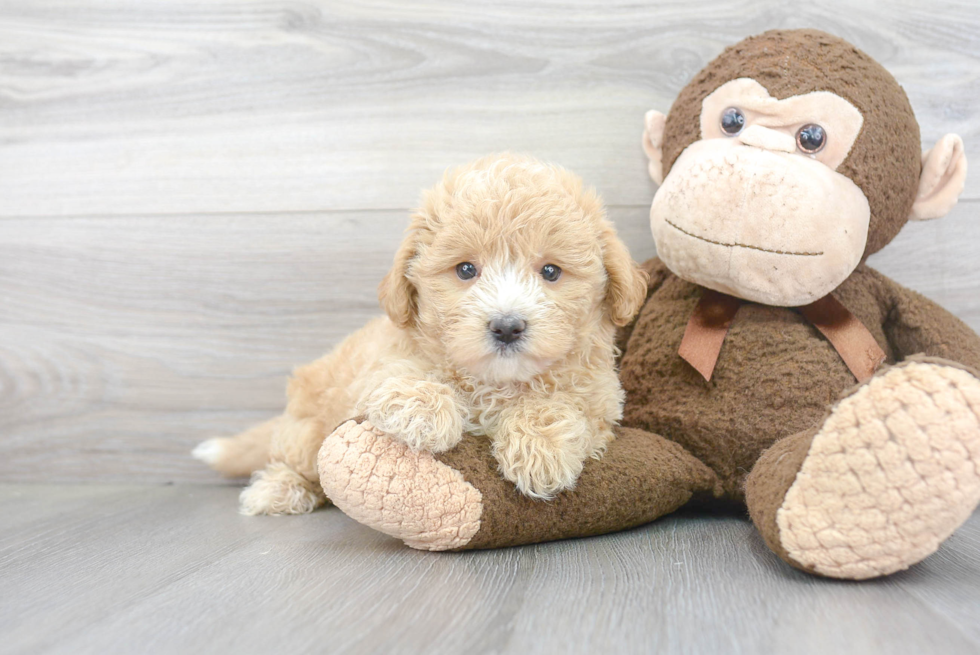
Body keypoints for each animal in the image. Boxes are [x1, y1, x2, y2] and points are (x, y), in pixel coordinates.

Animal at [194, 154, 648, 512]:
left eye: (551, 271)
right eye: (465, 269)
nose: (506, 326)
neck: (495, 383)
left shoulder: (601, 402)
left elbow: (562, 405)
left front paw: (541, 449)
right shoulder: (374, 372)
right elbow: (399, 377)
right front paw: (424, 411)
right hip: (307, 430)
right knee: (291, 459)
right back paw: (277, 490)